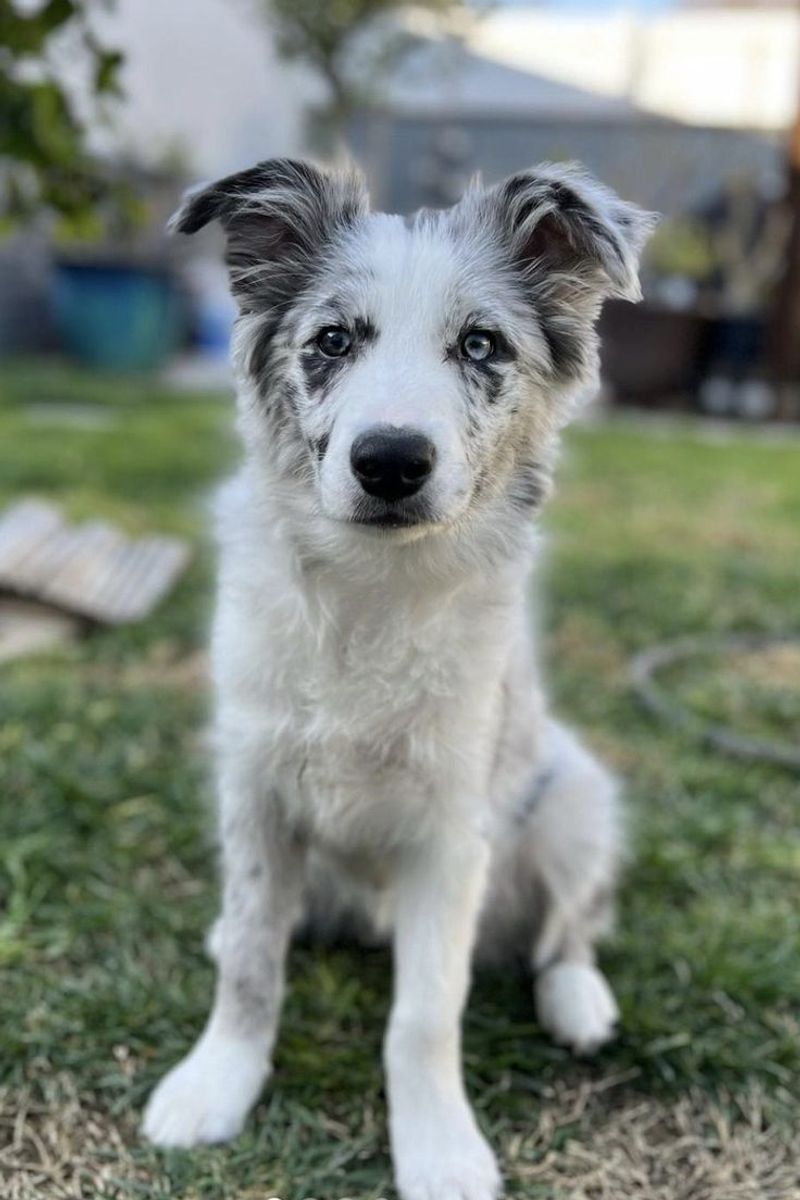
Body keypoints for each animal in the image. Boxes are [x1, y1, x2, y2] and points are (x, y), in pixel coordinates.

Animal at [143, 159, 657, 1200]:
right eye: (333, 340)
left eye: (480, 344)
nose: (389, 461)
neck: (372, 592)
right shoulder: (254, 791)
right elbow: (252, 959)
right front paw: (215, 1084)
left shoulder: (452, 834)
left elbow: (424, 1015)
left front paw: (441, 1151)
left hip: (575, 797)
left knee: (569, 926)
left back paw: (579, 998)